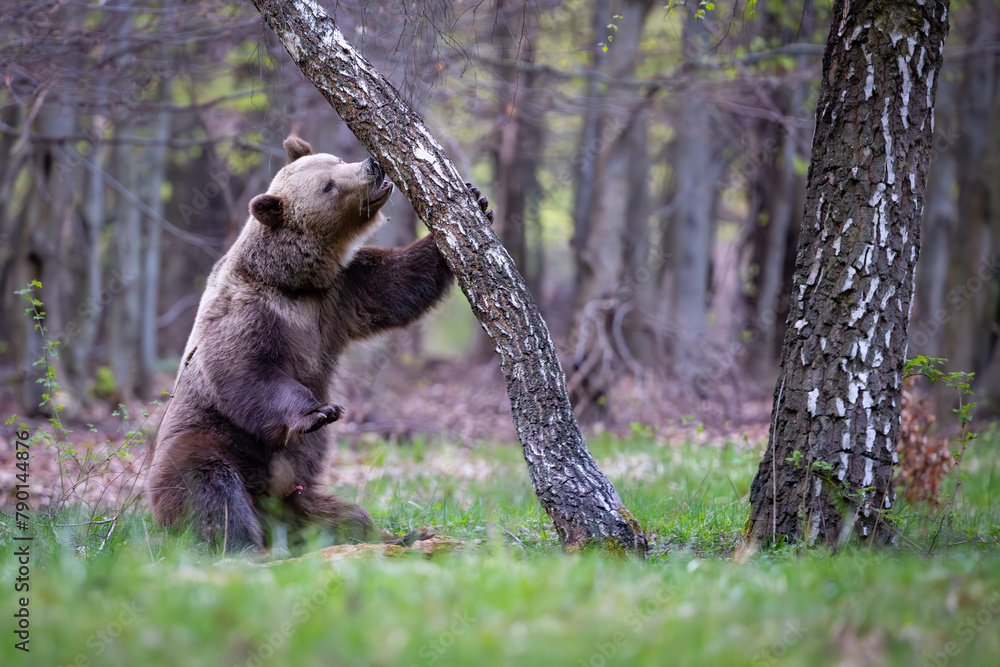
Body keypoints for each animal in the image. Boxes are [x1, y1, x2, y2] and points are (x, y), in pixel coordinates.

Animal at [147, 135, 492, 552]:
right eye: (328, 185)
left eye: (337, 160)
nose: (372, 164)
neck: (293, 282)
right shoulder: (251, 313)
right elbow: (247, 371)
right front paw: (319, 412)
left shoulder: (339, 293)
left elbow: (399, 285)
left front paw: (477, 201)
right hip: (207, 445)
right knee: (212, 488)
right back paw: (244, 546)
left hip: (297, 499)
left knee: (344, 517)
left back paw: (397, 535)